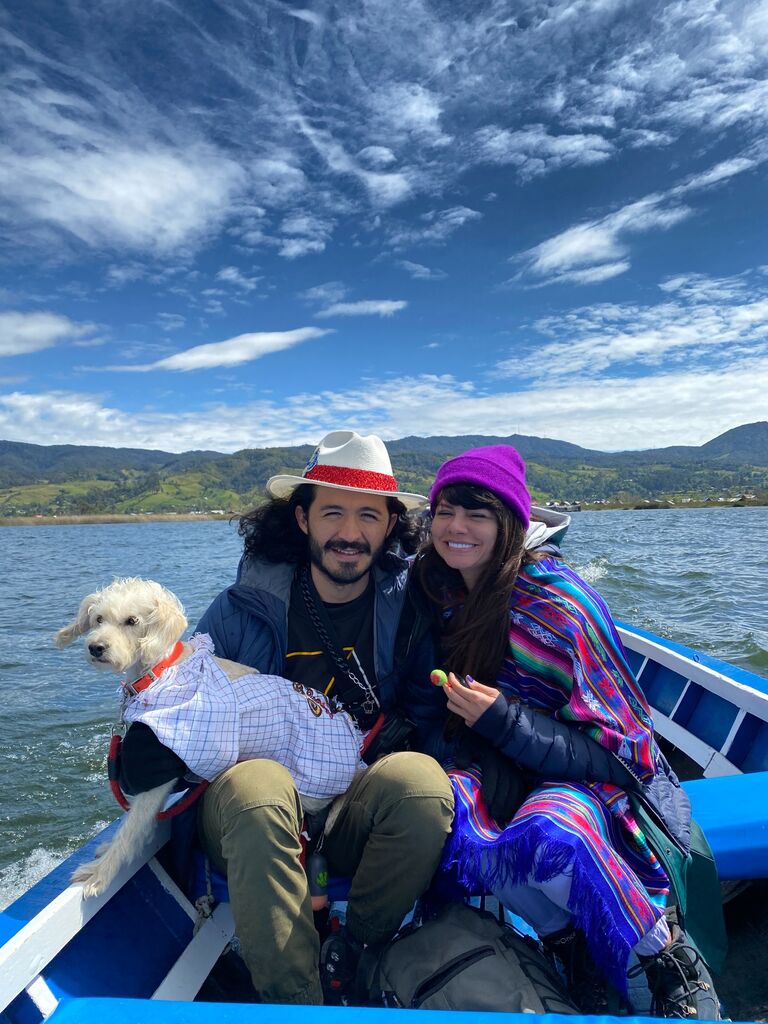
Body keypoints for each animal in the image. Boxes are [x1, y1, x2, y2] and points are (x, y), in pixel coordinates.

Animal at [57, 581, 364, 901]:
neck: (162, 671)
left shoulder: (164, 765)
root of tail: (357, 762)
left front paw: (100, 874)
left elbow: (131, 828)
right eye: (98, 619)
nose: (96, 647)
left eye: (132, 621)